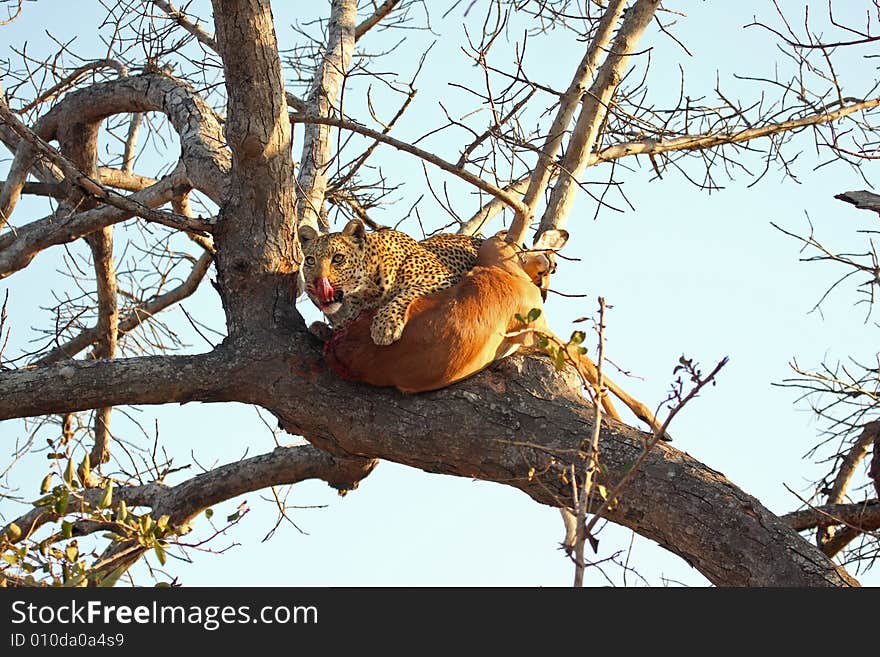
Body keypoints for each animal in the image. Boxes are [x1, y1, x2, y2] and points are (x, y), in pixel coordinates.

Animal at [300, 219, 482, 346]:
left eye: (338, 258)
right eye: (310, 261)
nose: (316, 283)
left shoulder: (442, 278)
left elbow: (407, 292)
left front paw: (385, 325)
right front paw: (322, 329)